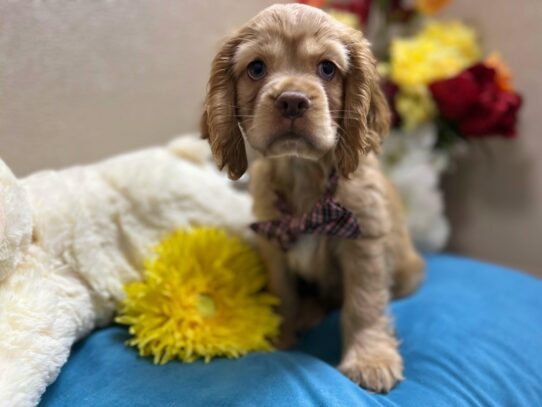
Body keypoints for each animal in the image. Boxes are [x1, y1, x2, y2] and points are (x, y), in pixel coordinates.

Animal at [202, 2, 428, 392]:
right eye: (256, 68)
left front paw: (370, 359)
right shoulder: (273, 240)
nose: (292, 101)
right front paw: (281, 339)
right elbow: (283, 294)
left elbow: (364, 304)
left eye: (327, 68)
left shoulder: (364, 241)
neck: (303, 175)